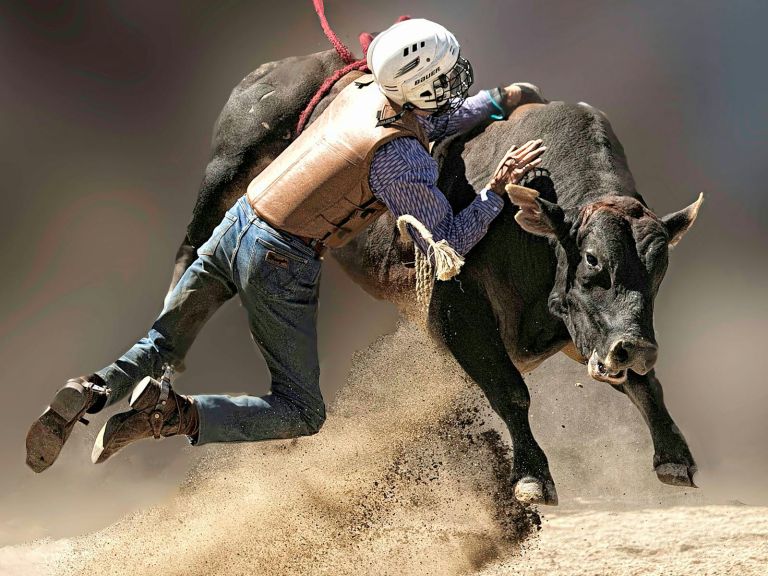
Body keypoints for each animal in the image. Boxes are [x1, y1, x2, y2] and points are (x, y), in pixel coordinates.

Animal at [168, 51, 704, 506]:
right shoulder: (457, 311)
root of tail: (286, 64)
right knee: (192, 246)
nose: (637, 348)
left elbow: (643, 384)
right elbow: (510, 390)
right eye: (592, 259)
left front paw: (674, 458)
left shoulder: (579, 332)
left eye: (659, 271)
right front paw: (532, 477)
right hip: (226, 167)